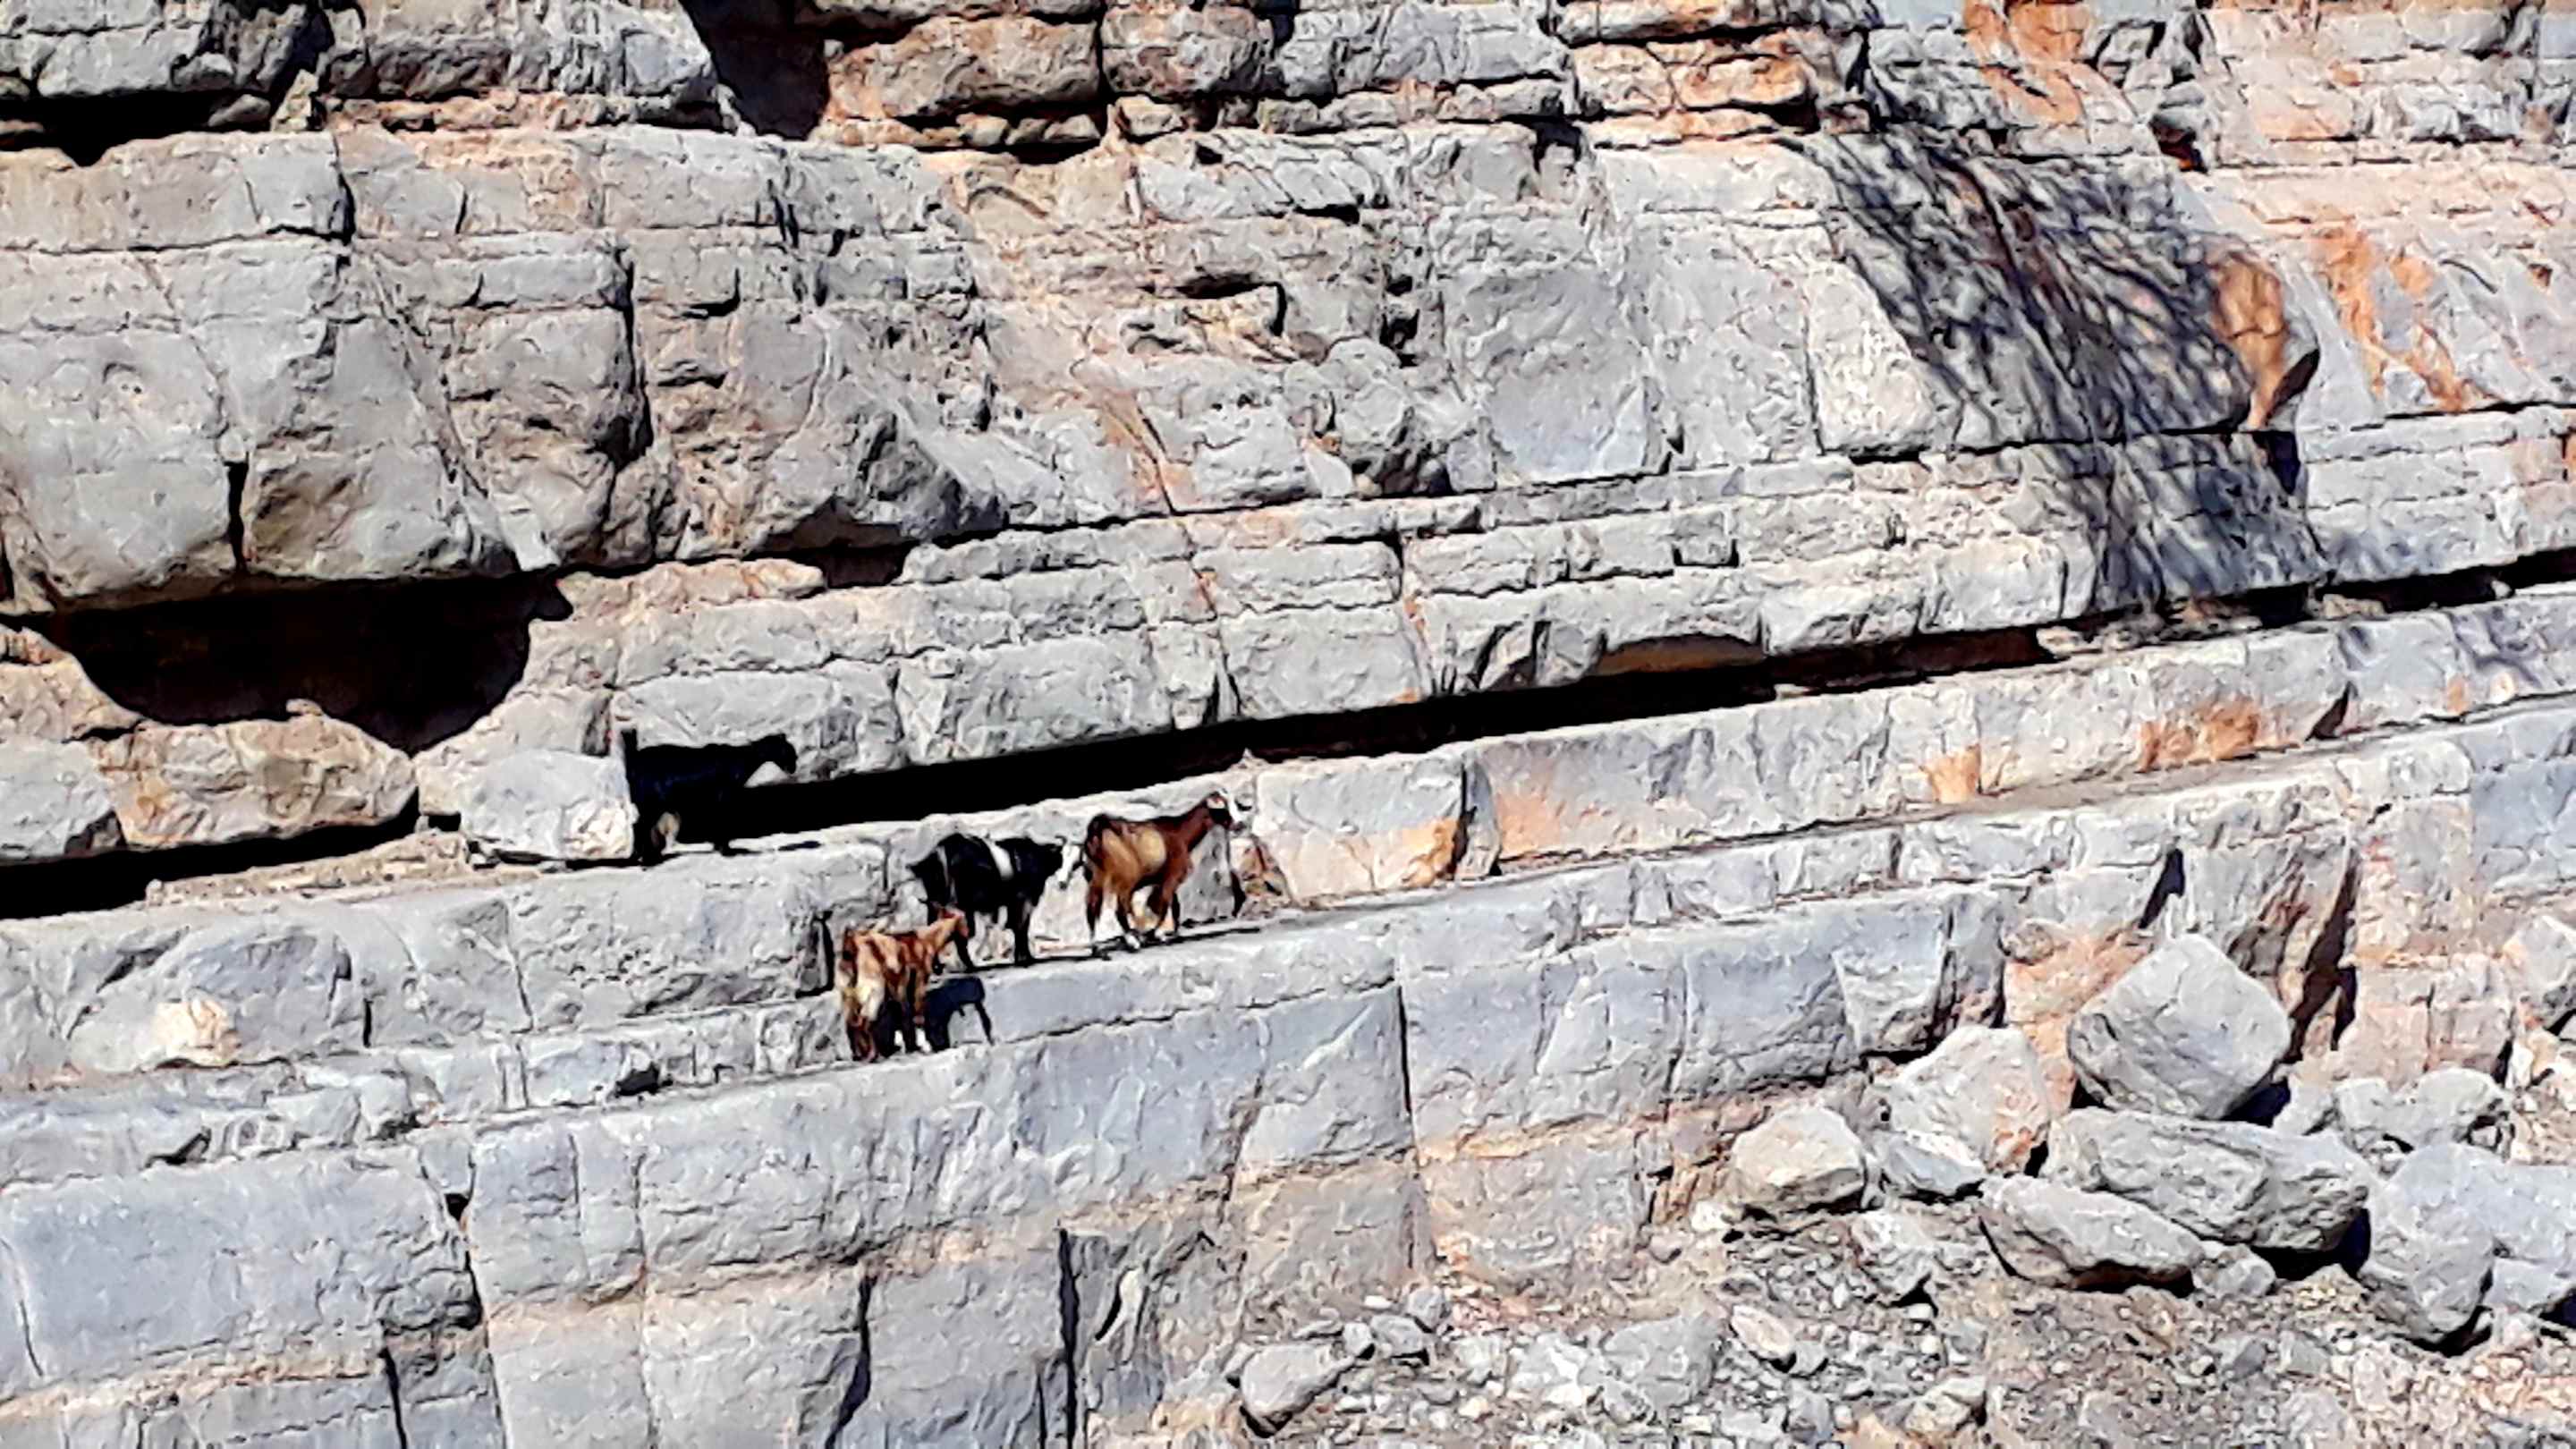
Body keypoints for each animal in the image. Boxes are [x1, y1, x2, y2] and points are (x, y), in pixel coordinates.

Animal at [618, 729, 796, 861]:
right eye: (791, 753)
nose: (794, 767)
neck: (743, 759)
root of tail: (634, 758)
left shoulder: (716, 801)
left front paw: (720, 848)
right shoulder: (724, 797)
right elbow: (722, 822)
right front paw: (726, 850)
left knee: (638, 826)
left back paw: (642, 856)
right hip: (652, 804)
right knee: (640, 826)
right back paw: (645, 858)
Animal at [835, 909, 967, 1062]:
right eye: (964, 922)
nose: (967, 934)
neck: (925, 941)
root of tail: (852, 947)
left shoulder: (900, 991)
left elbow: (902, 1014)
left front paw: (909, 1046)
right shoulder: (919, 981)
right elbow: (918, 1015)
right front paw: (925, 1046)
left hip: (848, 993)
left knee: (850, 1022)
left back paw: (859, 1055)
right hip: (876, 990)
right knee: (864, 1020)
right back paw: (873, 1055)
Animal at [910, 833, 1065, 972]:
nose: (1062, 882)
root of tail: (941, 852)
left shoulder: (1014, 904)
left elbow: (1017, 928)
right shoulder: (1024, 900)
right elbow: (1021, 928)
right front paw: (1025, 959)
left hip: (937, 907)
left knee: (932, 930)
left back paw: (938, 967)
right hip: (960, 909)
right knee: (957, 935)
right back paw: (969, 966)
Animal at [1080, 792, 1237, 955]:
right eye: (1223, 808)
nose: (1239, 825)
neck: (1179, 833)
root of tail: (1099, 827)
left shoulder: (1163, 879)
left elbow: (1172, 905)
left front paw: (1169, 934)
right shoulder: (1172, 877)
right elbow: (1164, 903)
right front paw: (1158, 934)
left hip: (1095, 877)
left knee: (1092, 908)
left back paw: (1098, 947)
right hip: (1126, 880)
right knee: (1120, 910)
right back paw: (1133, 942)